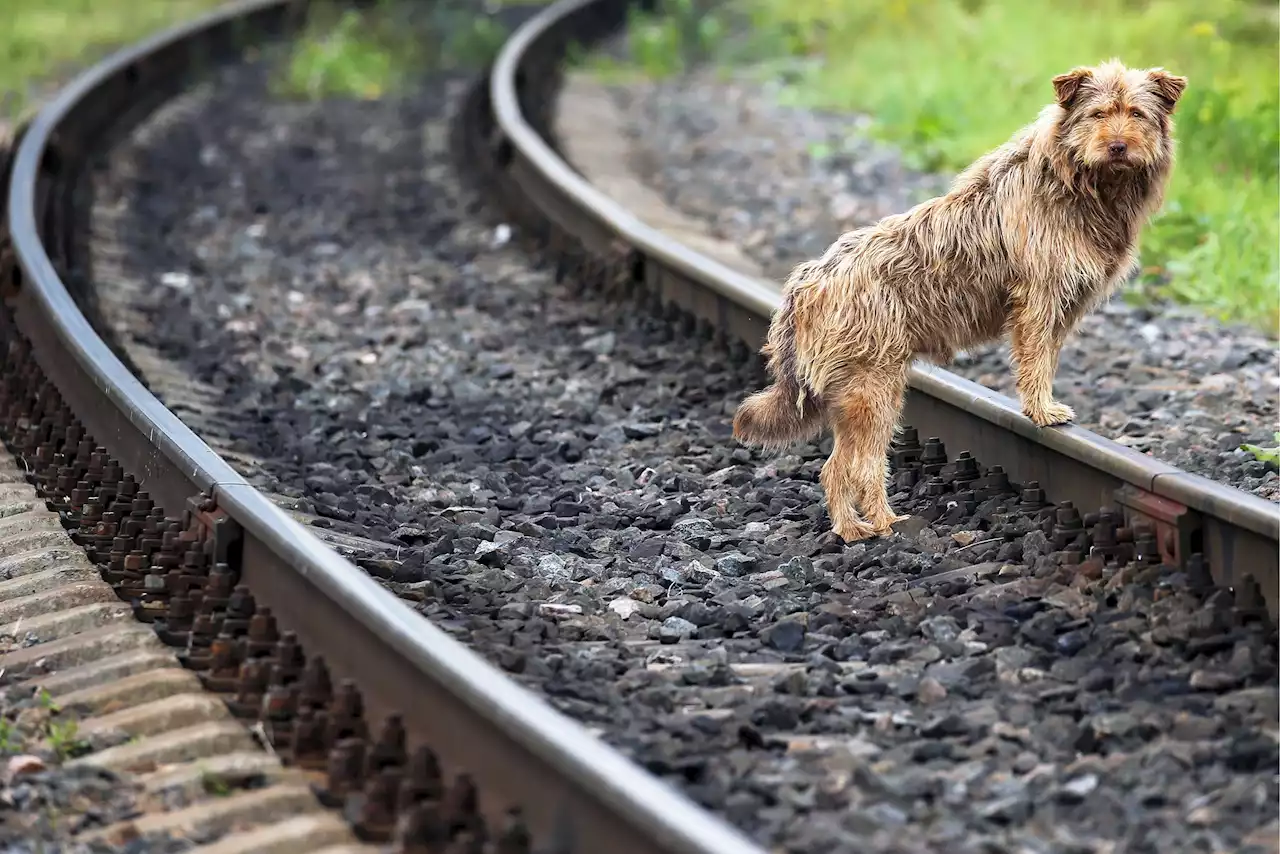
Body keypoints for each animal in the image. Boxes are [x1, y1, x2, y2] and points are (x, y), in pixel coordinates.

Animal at [737, 60, 1182, 540]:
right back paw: (881, 523)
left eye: (1136, 113)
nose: (1118, 146)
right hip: (876, 390)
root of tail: (804, 282)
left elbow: (1046, 359)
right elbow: (1037, 361)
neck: (1083, 182)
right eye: (1098, 114)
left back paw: (852, 528)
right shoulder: (1039, 300)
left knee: (835, 469)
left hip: (853, 394)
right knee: (859, 467)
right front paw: (1042, 410)